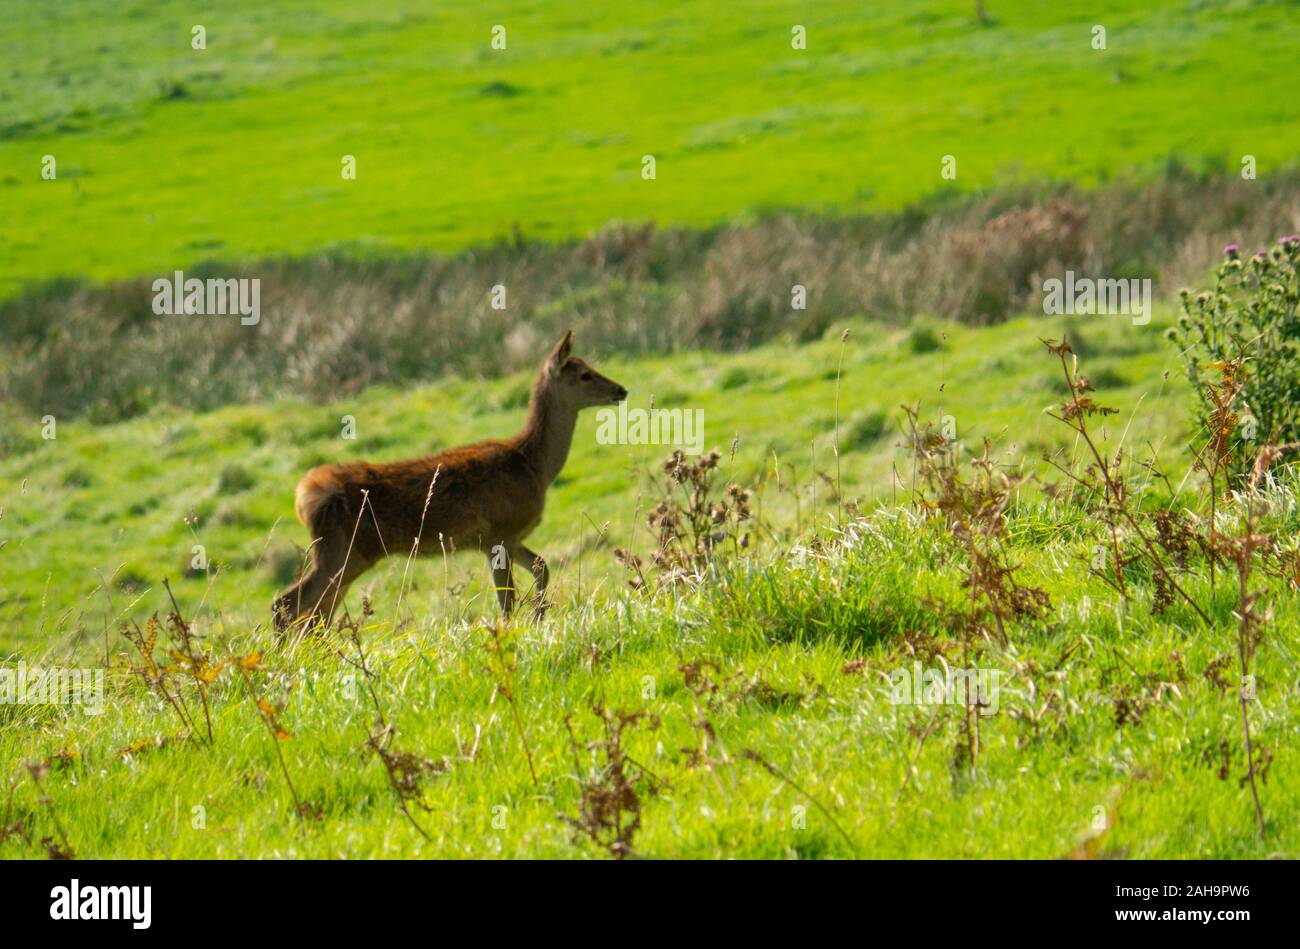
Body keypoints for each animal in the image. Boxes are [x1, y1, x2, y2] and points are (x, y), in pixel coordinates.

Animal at [271, 328, 626, 631]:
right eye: (585, 374)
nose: (621, 389)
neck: (534, 464)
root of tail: (303, 496)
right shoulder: (498, 532)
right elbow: (507, 600)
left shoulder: (508, 538)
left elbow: (542, 567)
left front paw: (538, 619)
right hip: (343, 549)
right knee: (286, 605)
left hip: (344, 554)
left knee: (315, 616)